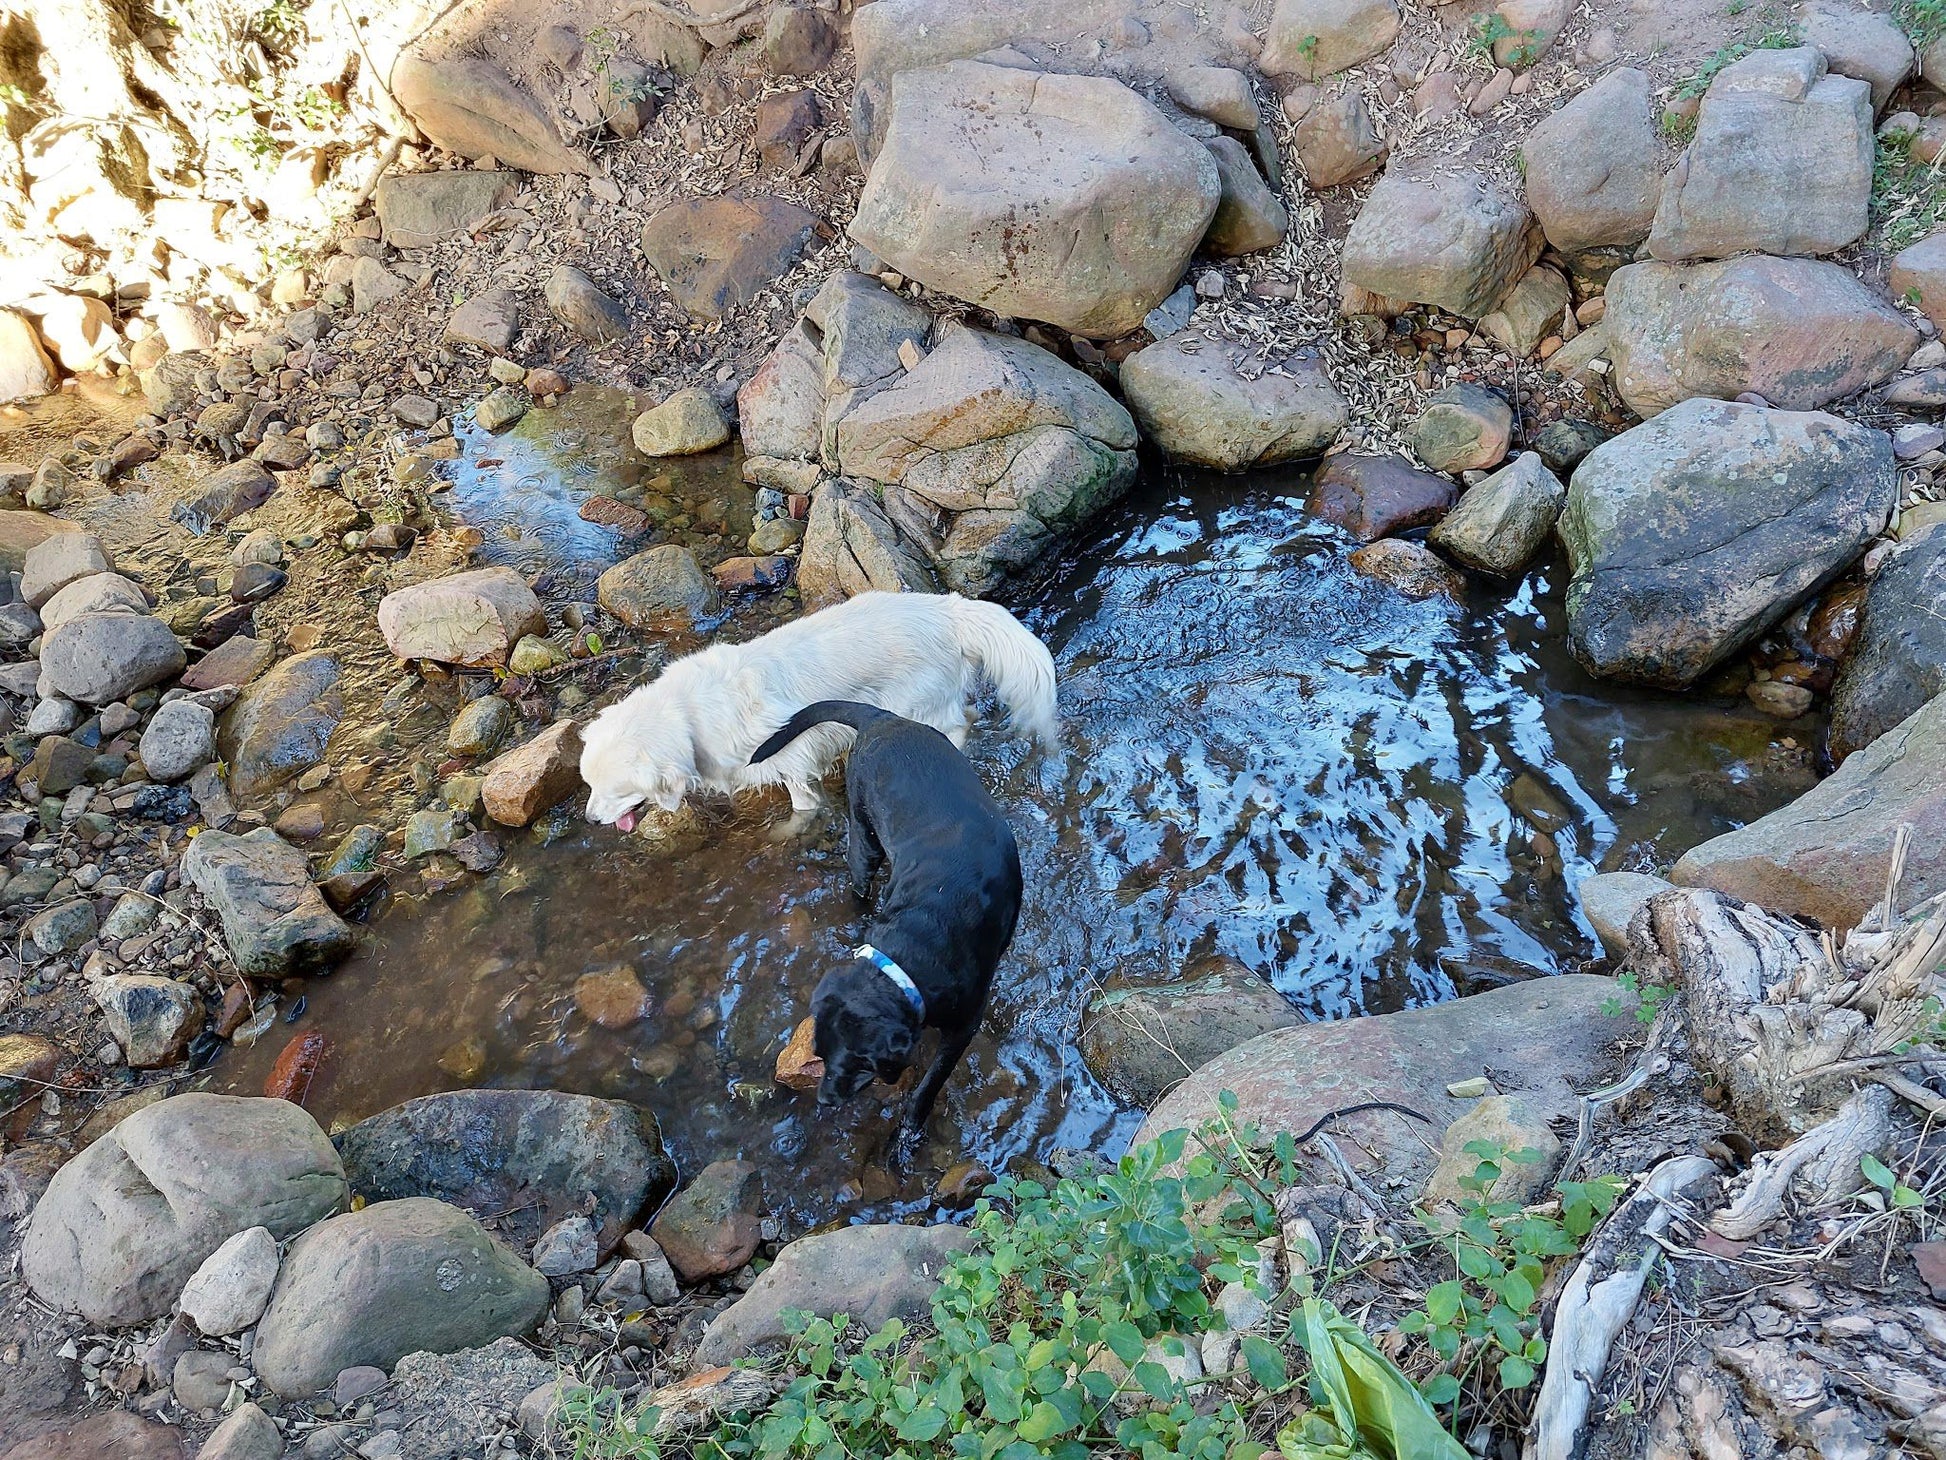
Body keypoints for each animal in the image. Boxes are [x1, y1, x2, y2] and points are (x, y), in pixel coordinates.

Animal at [579, 591, 1066, 825]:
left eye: (616, 791)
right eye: (588, 785)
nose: (590, 819)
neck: (685, 716)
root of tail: (949, 611)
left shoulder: (792, 759)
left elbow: (800, 807)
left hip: (916, 701)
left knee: (958, 725)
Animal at [743, 704, 1027, 1160]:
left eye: (854, 1062)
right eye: (817, 1054)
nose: (824, 1100)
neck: (917, 941)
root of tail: (880, 717)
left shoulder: (963, 1027)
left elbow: (929, 1083)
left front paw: (908, 1132)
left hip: (865, 842)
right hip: (865, 831)